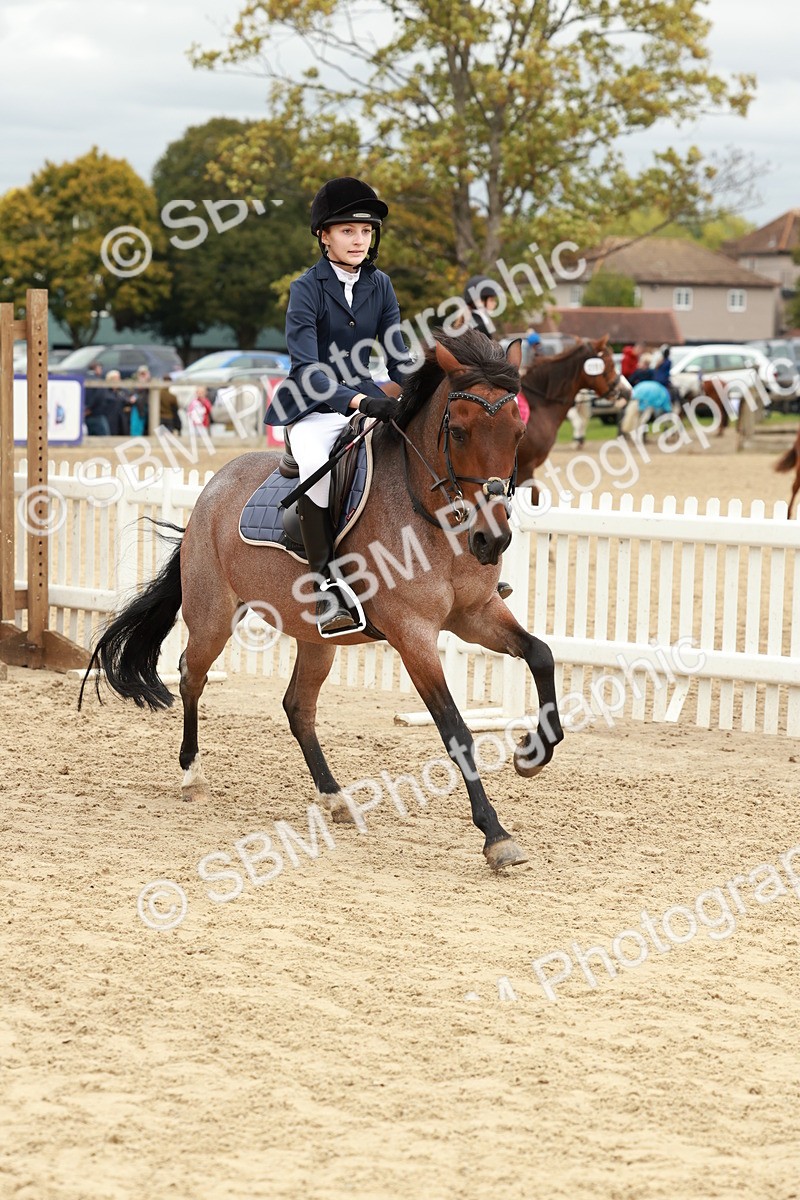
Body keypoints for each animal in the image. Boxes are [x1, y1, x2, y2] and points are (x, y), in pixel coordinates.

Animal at [79, 330, 564, 871]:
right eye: (458, 433)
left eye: (518, 433)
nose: (492, 540)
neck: (432, 515)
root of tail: (212, 488)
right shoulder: (413, 634)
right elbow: (455, 728)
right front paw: (495, 834)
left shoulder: (476, 615)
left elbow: (540, 654)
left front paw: (532, 754)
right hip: (213, 617)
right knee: (190, 675)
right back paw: (192, 775)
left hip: (316, 639)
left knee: (297, 706)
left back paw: (334, 798)